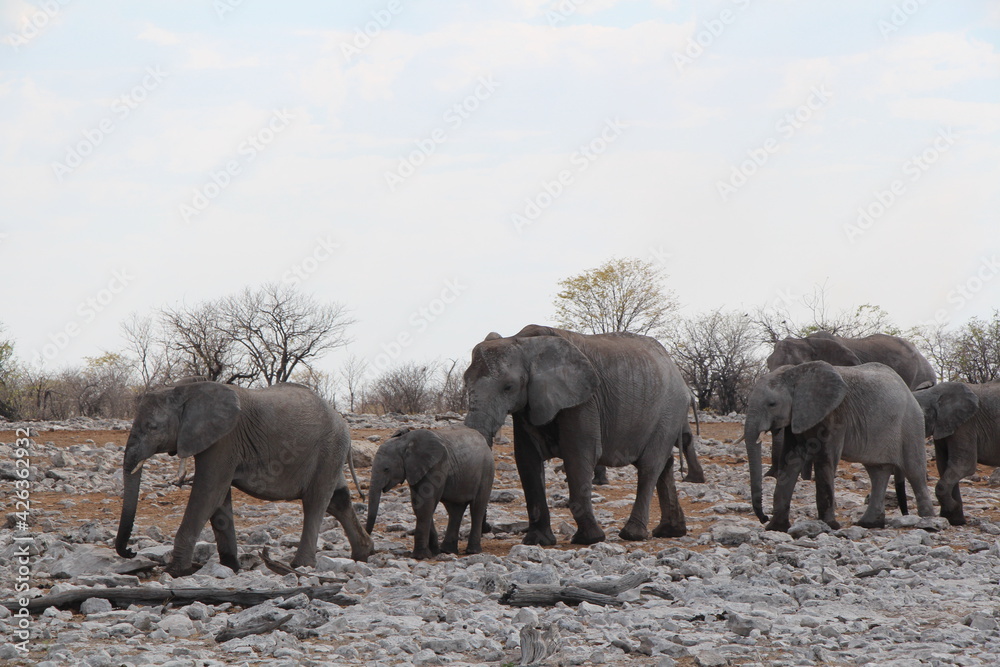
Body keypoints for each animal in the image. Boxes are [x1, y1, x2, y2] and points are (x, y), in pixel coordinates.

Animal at [115, 378, 373, 576]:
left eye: (152, 427)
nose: (131, 552)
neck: (186, 389)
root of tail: (342, 421)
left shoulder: (224, 440)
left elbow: (208, 493)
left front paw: (176, 571)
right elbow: (218, 500)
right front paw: (231, 567)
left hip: (329, 448)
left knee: (315, 502)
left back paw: (300, 565)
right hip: (331, 454)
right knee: (337, 500)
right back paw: (364, 552)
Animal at [365, 425, 494, 559]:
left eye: (386, 469)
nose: (371, 546)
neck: (404, 442)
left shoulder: (437, 466)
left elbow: (425, 503)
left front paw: (420, 556)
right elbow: (418, 505)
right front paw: (434, 552)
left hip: (487, 470)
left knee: (477, 508)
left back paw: (472, 551)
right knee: (455, 510)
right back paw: (447, 551)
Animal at [464, 324, 692, 546]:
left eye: (508, 387)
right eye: (465, 382)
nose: (486, 528)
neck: (523, 342)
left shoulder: (584, 400)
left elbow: (579, 455)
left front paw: (589, 539)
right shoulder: (528, 404)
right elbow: (527, 459)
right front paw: (537, 541)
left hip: (670, 411)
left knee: (649, 466)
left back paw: (632, 534)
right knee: (665, 466)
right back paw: (670, 532)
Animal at [744, 361, 934, 532]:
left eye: (772, 404)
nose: (763, 517)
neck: (796, 372)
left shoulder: (835, 417)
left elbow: (825, 460)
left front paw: (830, 526)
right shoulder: (797, 416)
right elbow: (791, 460)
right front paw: (776, 528)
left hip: (912, 423)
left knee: (914, 471)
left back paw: (928, 523)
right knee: (878, 472)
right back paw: (869, 524)